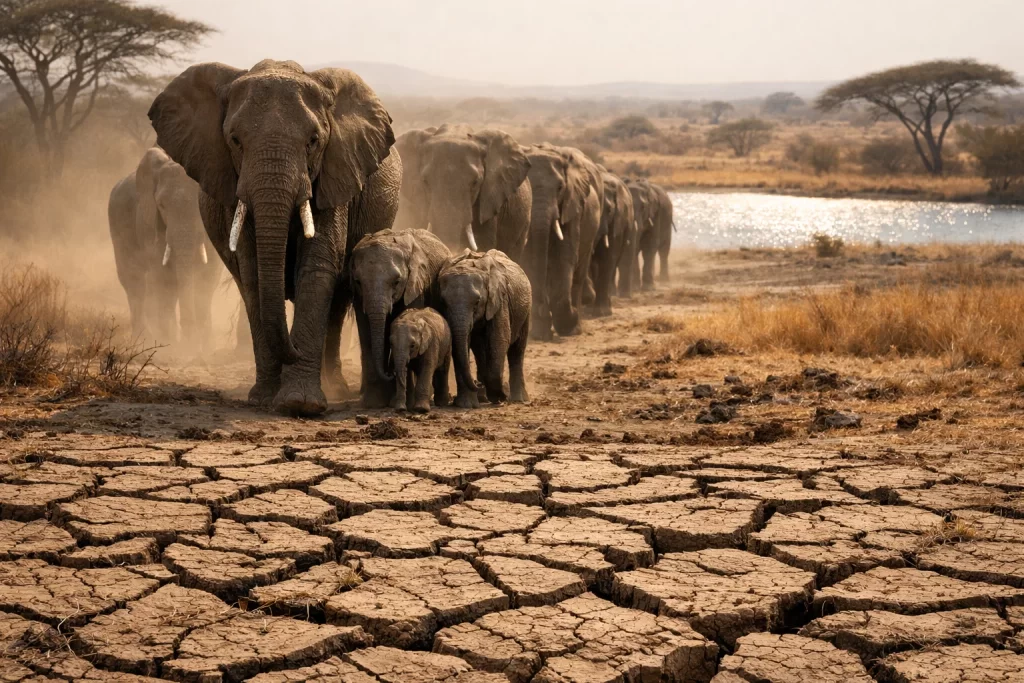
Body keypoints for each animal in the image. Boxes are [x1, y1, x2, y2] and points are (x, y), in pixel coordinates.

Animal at [108, 147, 222, 350]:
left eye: (200, 203)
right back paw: (142, 340)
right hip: (117, 223)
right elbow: (163, 277)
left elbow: (208, 278)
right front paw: (170, 346)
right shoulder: (150, 224)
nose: (188, 338)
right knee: (134, 281)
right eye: (161, 205)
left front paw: (205, 346)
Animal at [148, 60, 401, 416]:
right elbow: (252, 271)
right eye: (235, 140)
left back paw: (335, 386)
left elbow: (317, 267)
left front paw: (300, 403)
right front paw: (265, 399)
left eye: (313, 141)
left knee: (337, 300)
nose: (292, 349)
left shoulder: (333, 175)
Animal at [349, 228, 452, 407]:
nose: (390, 373)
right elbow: (367, 334)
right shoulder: (359, 295)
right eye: (358, 282)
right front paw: (373, 403)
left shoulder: (417, 284)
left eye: (396, 282)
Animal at [439, 249, 532, 408]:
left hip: (525, 311)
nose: (478, 383)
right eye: (444, 302)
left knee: (517, 349)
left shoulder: (500, 300)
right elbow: (461, 345)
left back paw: (517, 399)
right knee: (480, 351)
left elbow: (500, 339)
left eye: (477, 302)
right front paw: (466, 405)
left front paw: (499, 397)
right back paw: (483, 398)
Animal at [523, 144, 604, 339]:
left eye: (560, 187)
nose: (544, 310)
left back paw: (576, 327)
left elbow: (565, 256)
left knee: (579, 270)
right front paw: (541, 334)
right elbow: (530, 259)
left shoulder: (573, 206)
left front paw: (568, 322)